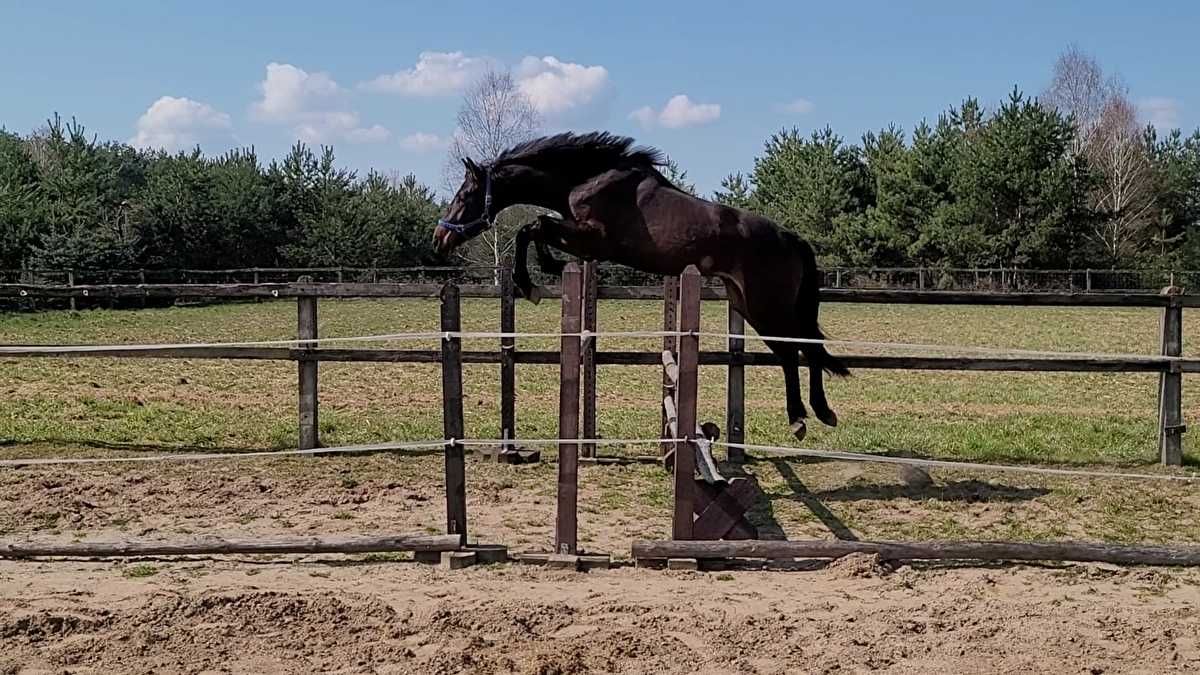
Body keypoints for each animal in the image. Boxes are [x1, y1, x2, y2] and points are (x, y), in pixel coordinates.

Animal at [432, 130, 844, 441]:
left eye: (464, 196)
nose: (439, 240)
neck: (586, 179)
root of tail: (790, 237)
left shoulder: (591, 238)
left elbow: (532, 226)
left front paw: (532, 281)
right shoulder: (583, 240)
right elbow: (535, 227)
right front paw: (544, 271)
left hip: (767, 305)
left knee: (800, 347)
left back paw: (809, 415)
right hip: (748, 306)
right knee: (792, 350)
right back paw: (809, 416)